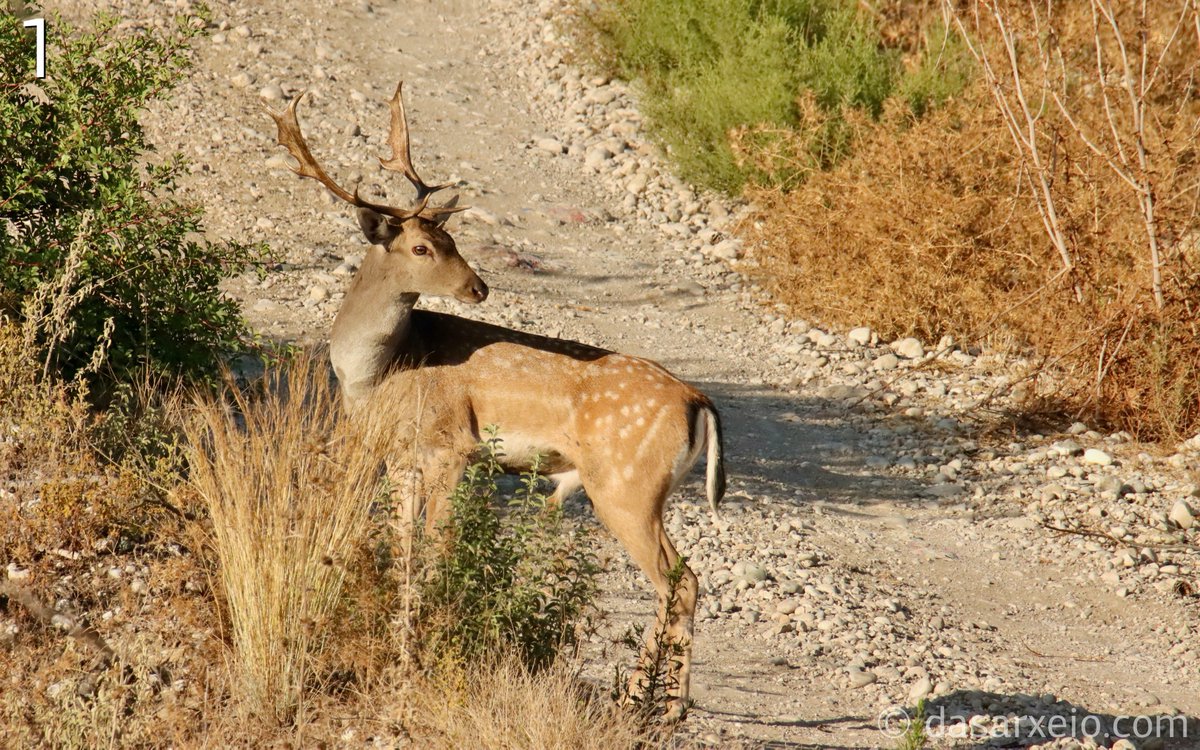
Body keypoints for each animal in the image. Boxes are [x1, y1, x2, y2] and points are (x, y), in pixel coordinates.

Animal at [268, 80, 724, 715]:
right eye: (423, 247)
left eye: (451, 238)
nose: (479, 287)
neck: (378, 374)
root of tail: (697, 399)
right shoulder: (400, 457)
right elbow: (403, 551)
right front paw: (399, 647)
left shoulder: (452, 444)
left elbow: (436, 550)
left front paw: (419, 658)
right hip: (643, 489)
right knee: (686, 578)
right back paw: (661, 700)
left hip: (626, 485)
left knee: (678, 580)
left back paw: (653, 702)